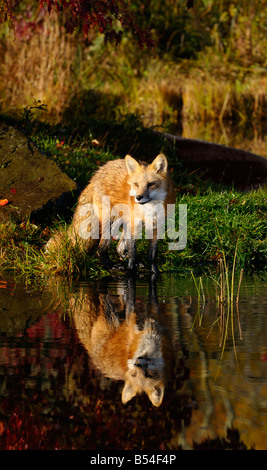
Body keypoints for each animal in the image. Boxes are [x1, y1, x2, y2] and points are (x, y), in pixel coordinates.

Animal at [47, 152, 177, 274]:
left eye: (151, 184)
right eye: (136, 184)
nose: (138, 197)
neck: (150, 209)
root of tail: (95, 176)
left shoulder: (155, 227)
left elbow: (152, 255)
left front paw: (154, 272)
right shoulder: (133, 226)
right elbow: (132, 253)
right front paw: (131, 271)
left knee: (119, 248)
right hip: (110, 222)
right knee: (101, 250)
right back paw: (110, 265)